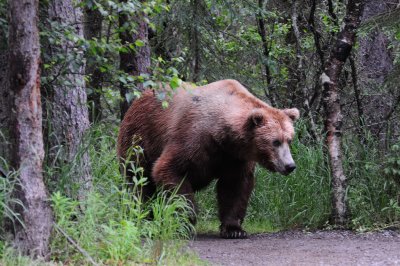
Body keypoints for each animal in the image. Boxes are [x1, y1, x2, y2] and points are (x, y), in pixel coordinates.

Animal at [117, 79, 298, 239]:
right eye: (275, 141)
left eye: (289, 140)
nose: (290, 165)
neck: (223, 135)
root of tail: (138, 98)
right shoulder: (192, 138)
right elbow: (169, 170)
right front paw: (186, 222)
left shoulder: (235, 157)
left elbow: (235, 187)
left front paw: (234, 229)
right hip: (140, 139)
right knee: (139, 181)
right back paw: (144, 219)